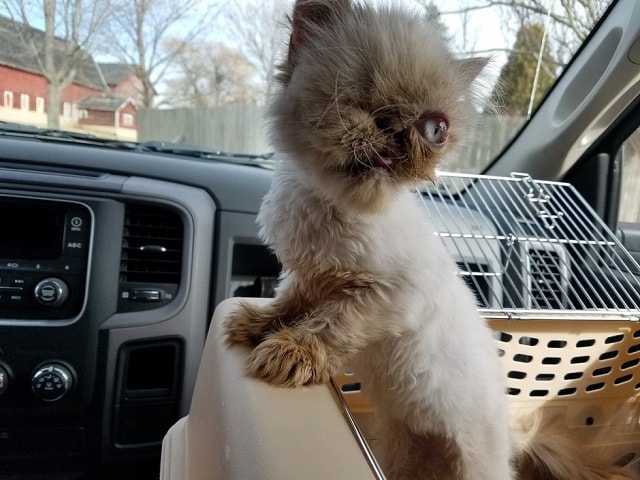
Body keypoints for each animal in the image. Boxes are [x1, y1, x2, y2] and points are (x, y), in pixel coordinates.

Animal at [225, 0, 516, 480]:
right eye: (359, 95)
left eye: (434, 129)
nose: (395, 128)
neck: (336, 206)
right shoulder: (309, 275)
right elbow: (289, 304)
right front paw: (257, 324)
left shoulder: (389, 296)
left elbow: (331, 325)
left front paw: (289, 351)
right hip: (401, 445)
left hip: (474, 463)